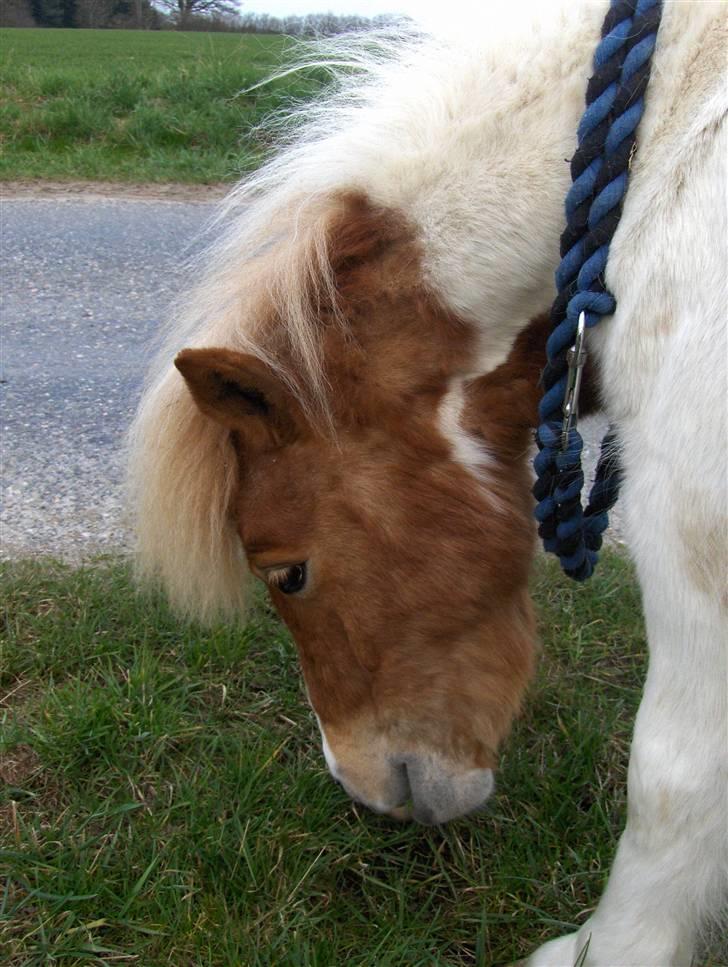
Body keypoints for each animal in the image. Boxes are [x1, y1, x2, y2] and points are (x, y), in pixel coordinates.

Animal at [126, 3, 728, 964]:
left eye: (288, 572)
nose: (367, 791)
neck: (658, 162)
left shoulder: (690, 520)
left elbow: (672, 774)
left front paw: (613, 947)